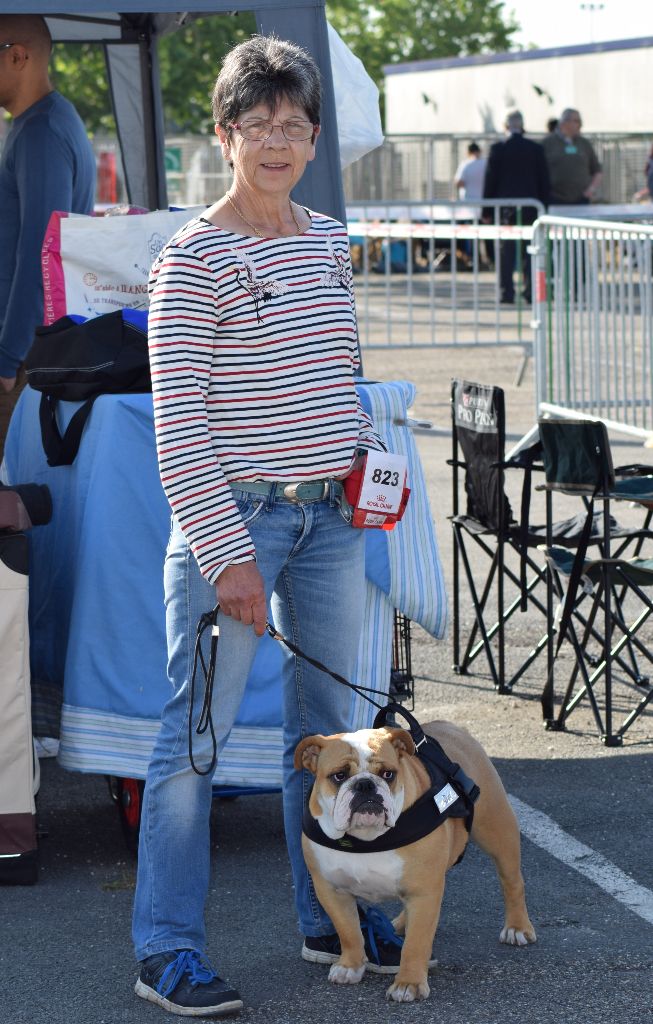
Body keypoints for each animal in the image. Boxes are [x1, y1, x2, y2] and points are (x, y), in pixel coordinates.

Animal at [294, 720, 536, 1003]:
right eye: (339, 776)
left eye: (388, 774)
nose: (365, 785)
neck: (367, 838)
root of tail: (450, 726)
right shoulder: (330, 891)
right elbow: (349, 932)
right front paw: (350, 966)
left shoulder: (424, 891)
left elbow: (416, 943)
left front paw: (408, 983)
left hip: (497, 831)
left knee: (512, 882)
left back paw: (517, 927)